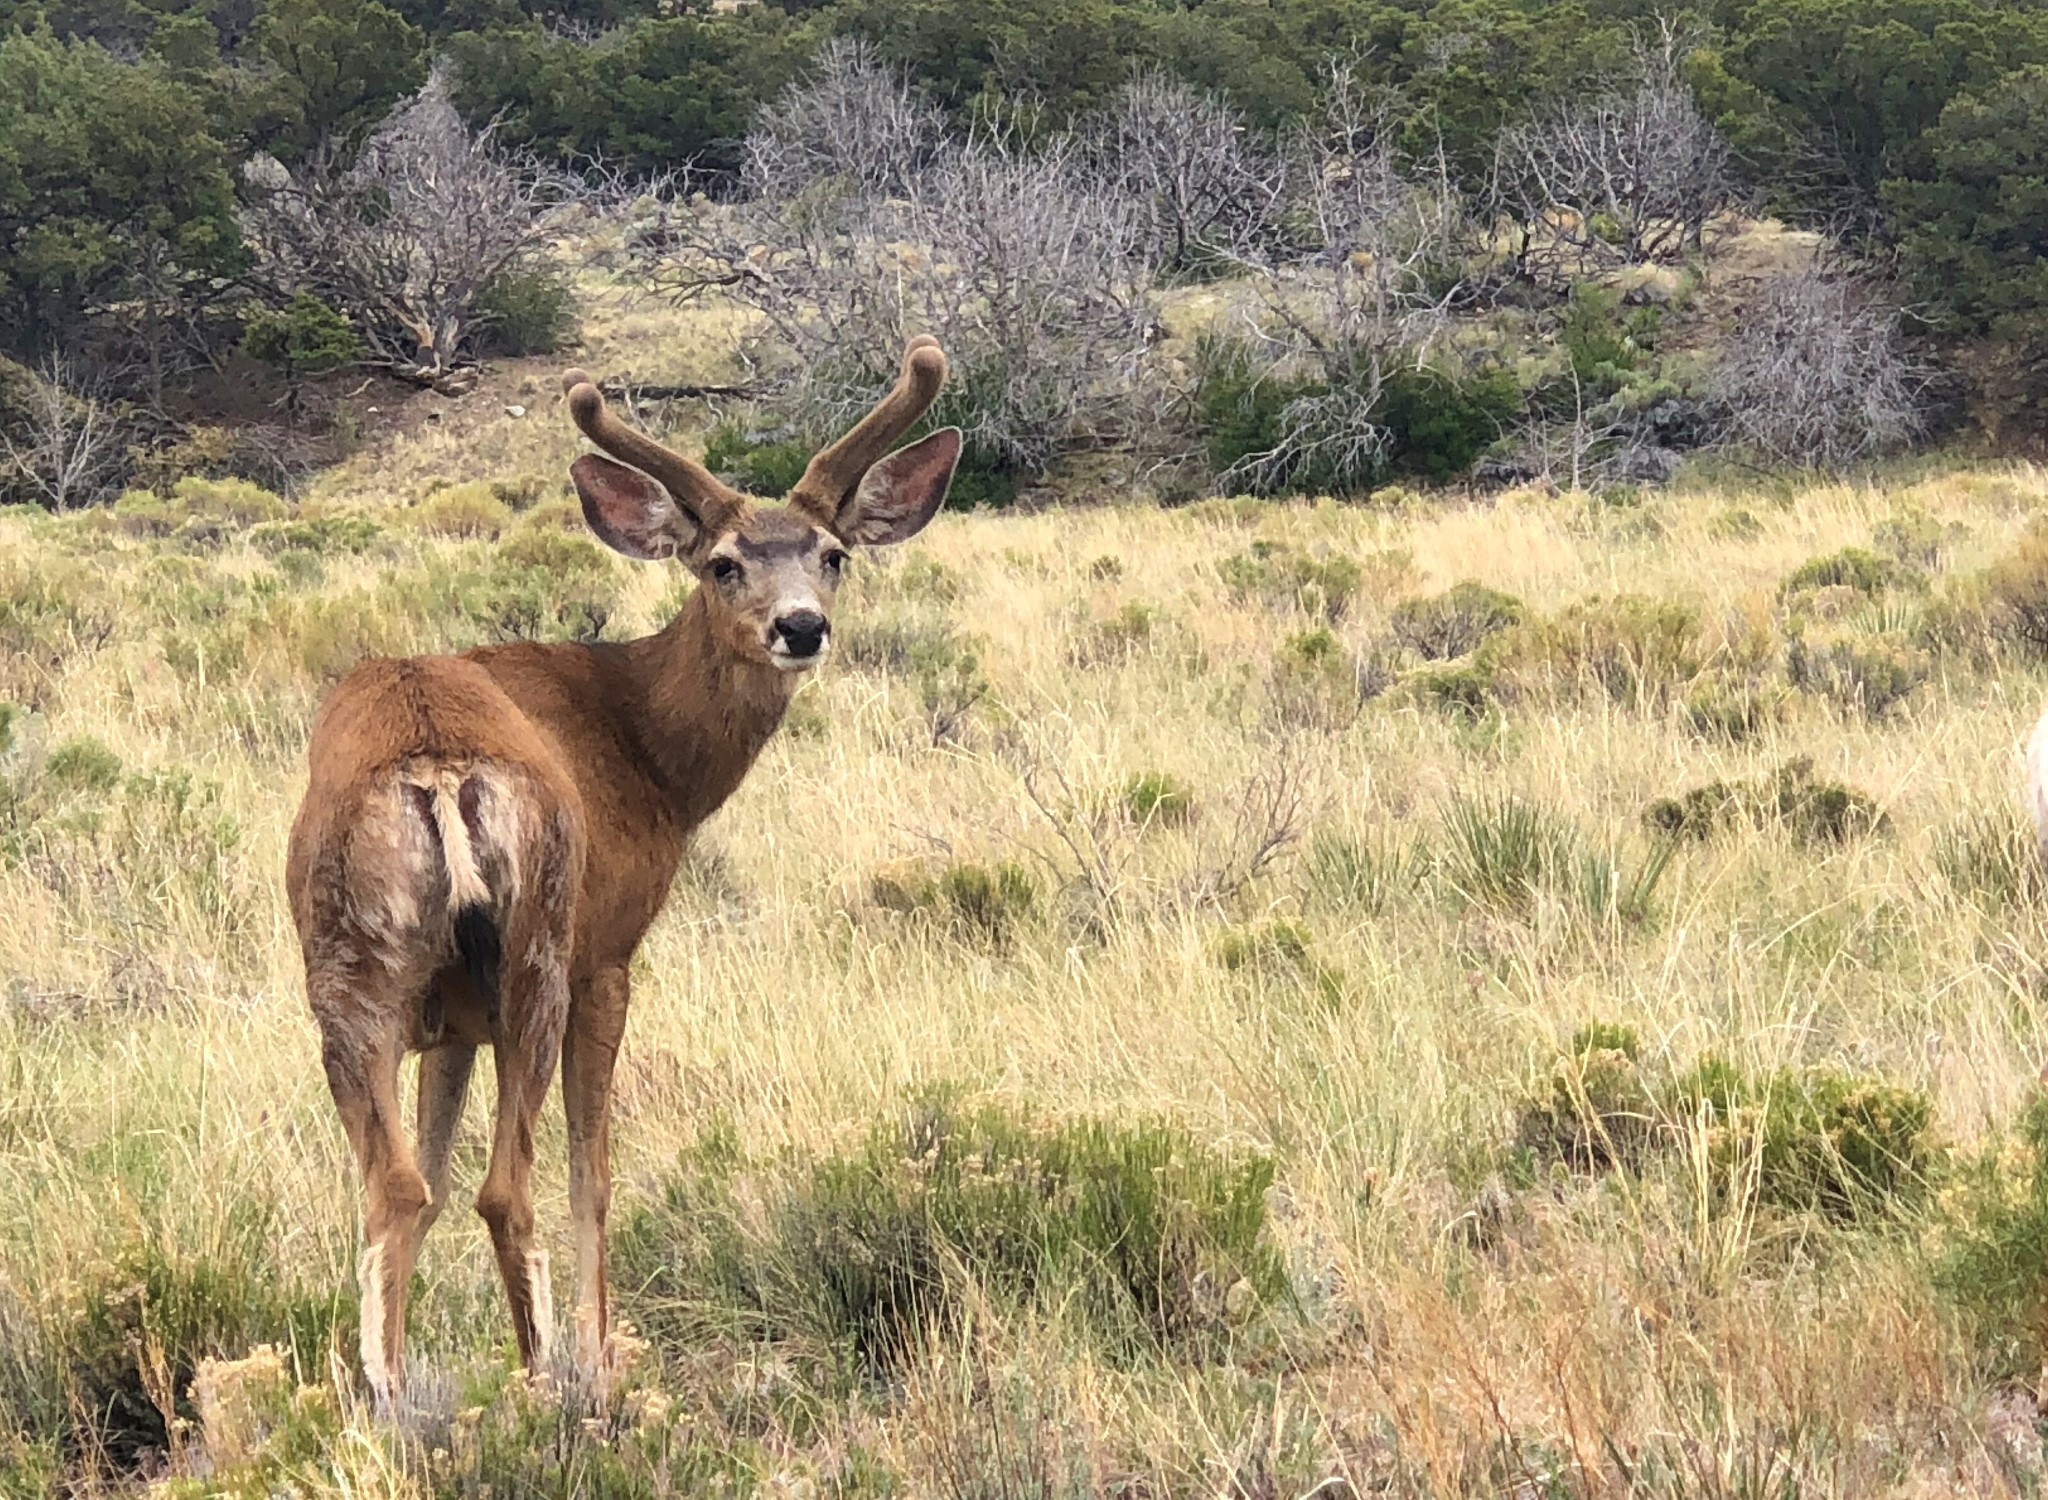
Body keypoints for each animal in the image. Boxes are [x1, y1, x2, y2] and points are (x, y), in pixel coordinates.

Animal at [284, 334, 962, 1401]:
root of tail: (435, 771)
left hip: (350, 969)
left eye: (833, 555)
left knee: (397, 1187)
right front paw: (601, 1352)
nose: (801, 626)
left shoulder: (450, 1025)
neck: (651, 754)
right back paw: (555, 1386)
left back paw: (385, 1401)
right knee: (505, 1187)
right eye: (723, 563)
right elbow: (593, 1175)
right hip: (542, 951)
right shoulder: (611, 951)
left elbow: (430, 1174)